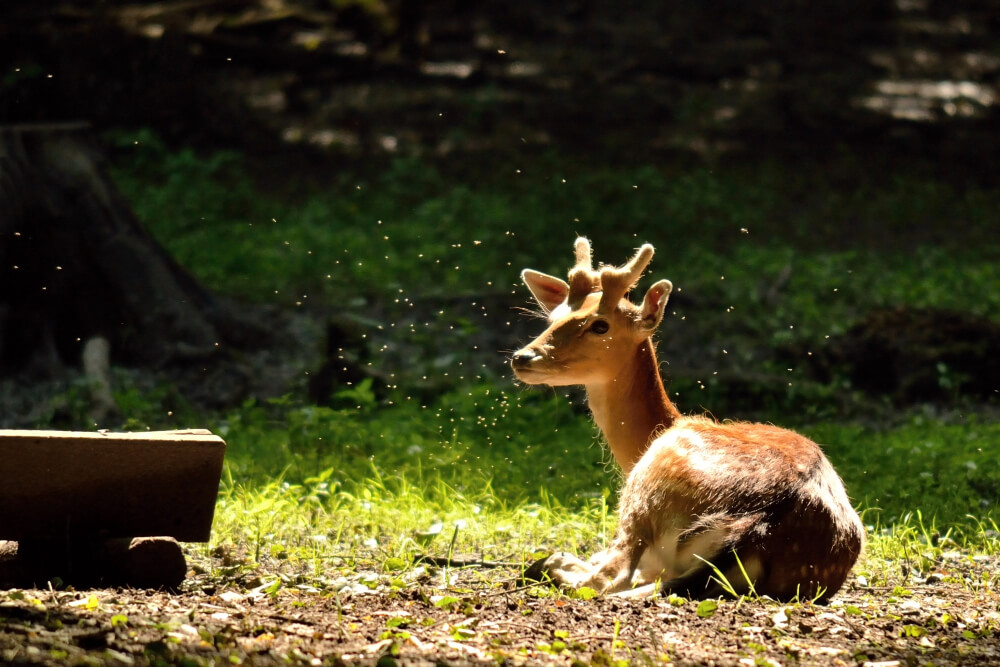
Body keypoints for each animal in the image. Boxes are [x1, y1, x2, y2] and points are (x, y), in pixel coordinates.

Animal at [512, 239, 864, 600]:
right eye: (552, 317)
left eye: (600, 325)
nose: (522, 357)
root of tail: (758, 524)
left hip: (647, 487)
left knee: (607, 578)